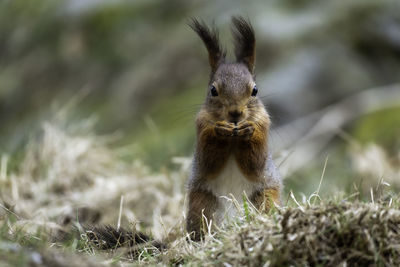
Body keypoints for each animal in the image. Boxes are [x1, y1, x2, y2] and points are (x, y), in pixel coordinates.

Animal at [187, 17, 282, 243]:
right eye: (213, 90)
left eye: (255, 90)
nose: (236, 113)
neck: (234, 137)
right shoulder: (201, 127)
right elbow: (208, 161)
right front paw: (219, 131)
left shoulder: (263, 125)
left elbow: (255, 163)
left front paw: (249, 132)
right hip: (202, 203)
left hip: (265, 197)